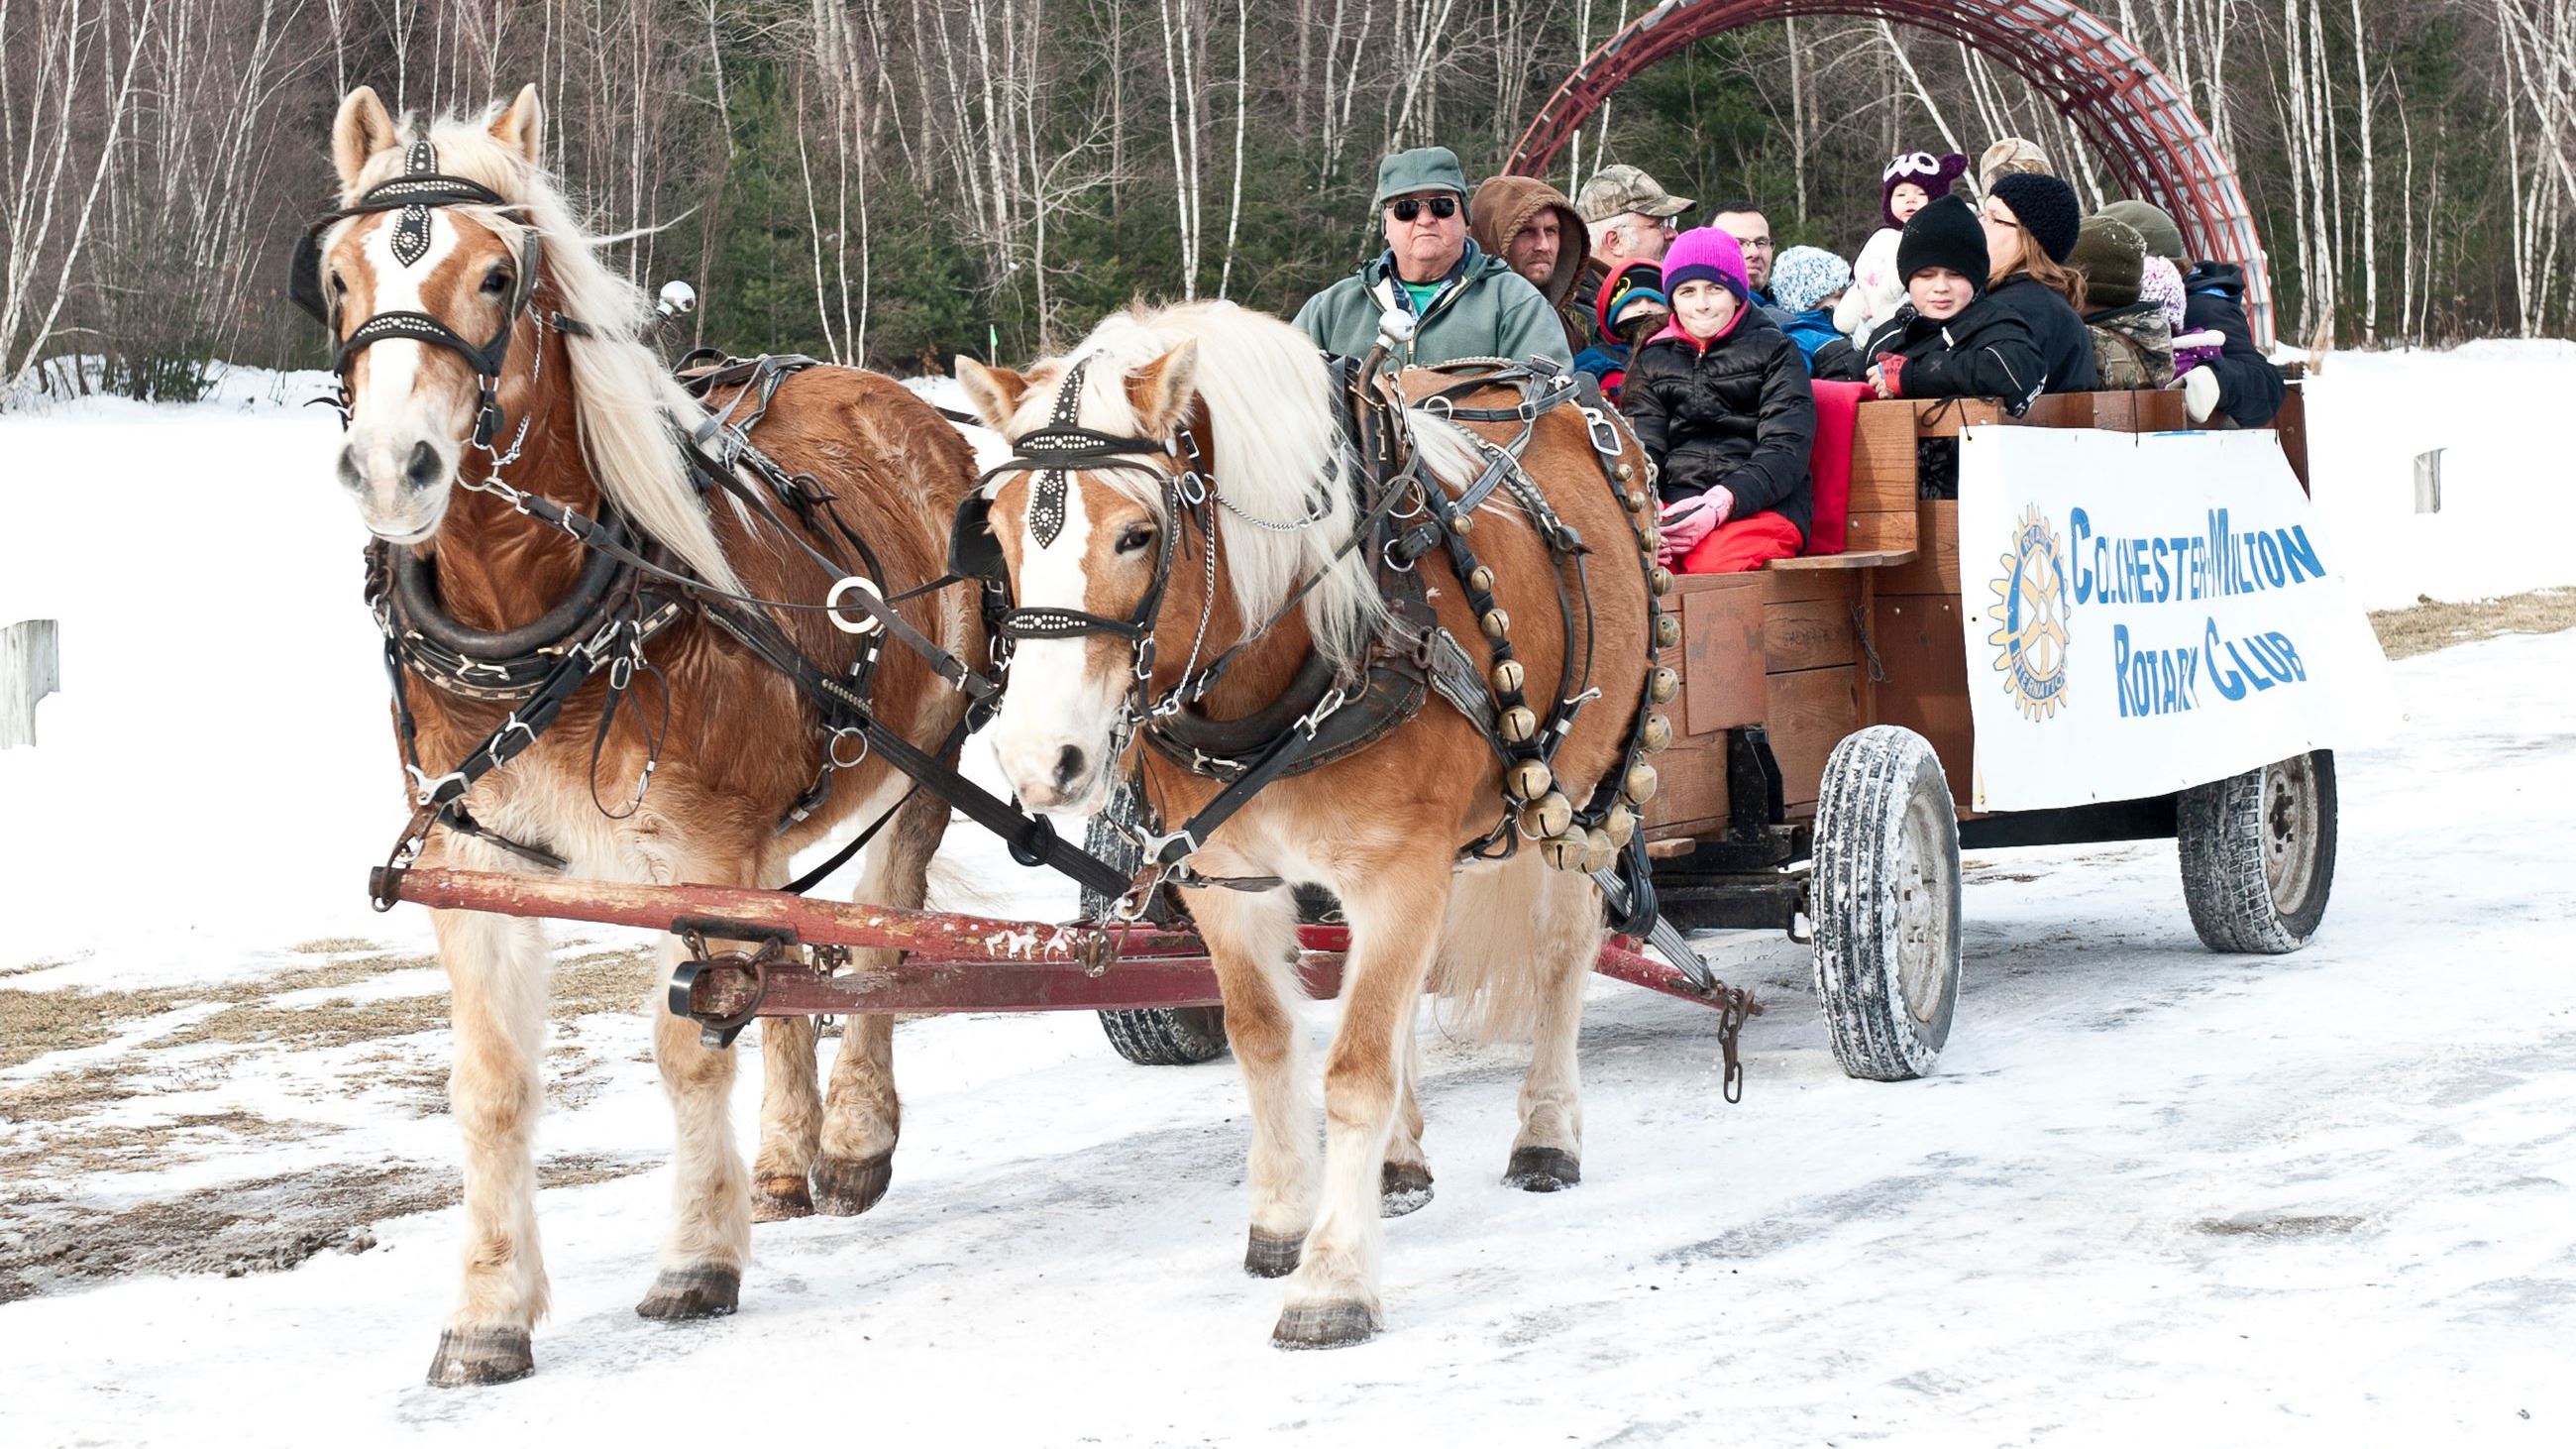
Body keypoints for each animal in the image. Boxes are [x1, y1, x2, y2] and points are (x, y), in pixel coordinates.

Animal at [308, 84, 982, 1385]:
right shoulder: (475, 870)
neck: (538, 615)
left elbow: (690, 1046)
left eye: (498, 276)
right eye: (335, 277)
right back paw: (784, 1160)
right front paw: (487, 1313)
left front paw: (695, 1263)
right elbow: (492, 1087)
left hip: (927, 756)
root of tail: (892, 393)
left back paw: (853, 1139)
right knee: (786, 965)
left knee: (881, 933)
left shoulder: (703, 859)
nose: (393, 468)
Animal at [955, 301, 1666, 1347]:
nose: (1043, 760)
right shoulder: (1226, 878)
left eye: (1136, 535)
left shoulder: (1400, 867)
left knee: (1560, 956)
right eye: (999, 534)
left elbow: (1355, 1068)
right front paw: (1284, 1223)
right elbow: (1266, 1042)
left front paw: (1332, 1281)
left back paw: (1545, 1133)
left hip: (1588, 789)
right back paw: (1402, 1165)